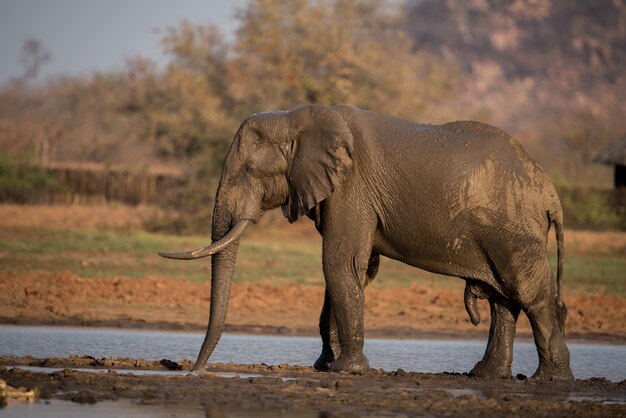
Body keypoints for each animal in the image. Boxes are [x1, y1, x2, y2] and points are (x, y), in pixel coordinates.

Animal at [158, 103, 572, 380]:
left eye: (249, 170)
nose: (192, 371)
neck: (297, 118)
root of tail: (549, 190)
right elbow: (352, 270)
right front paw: (326, 365)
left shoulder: (352, 188)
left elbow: (339, 263)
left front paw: (346, 370)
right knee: (504, 299)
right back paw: (485, 375)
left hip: (514, 228)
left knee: (530, 292)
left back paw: (549, 379)